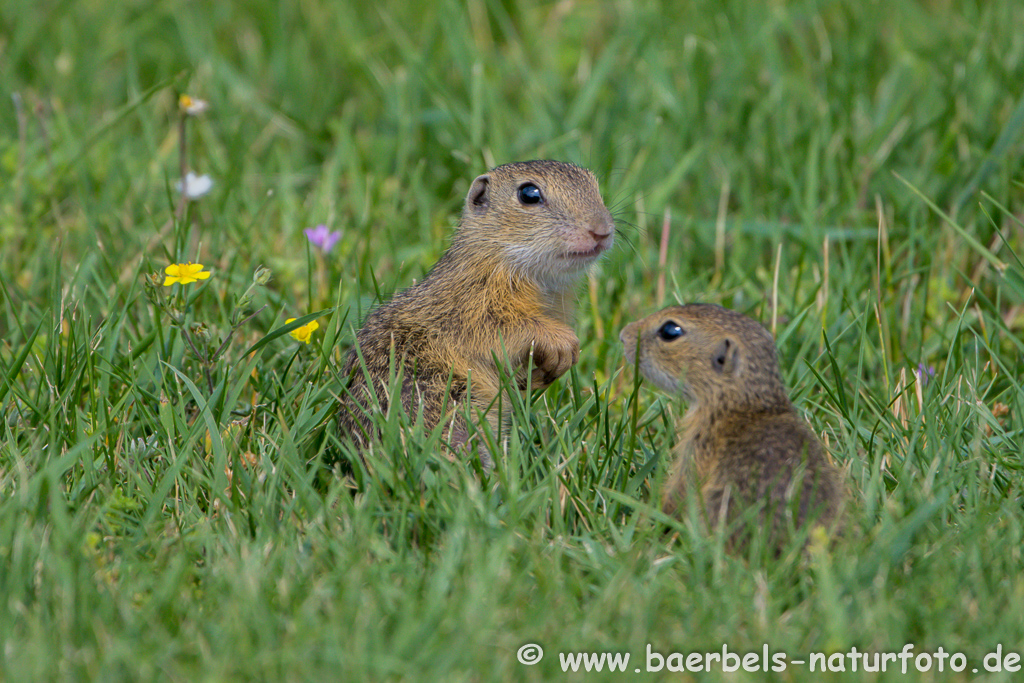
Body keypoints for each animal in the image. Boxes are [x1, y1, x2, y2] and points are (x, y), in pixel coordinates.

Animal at [337, 162, 614, 466]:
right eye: (529, 194)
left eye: (594, 184)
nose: (601, 230)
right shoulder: (470, 309)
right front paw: (562, 343)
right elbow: (506, 329)